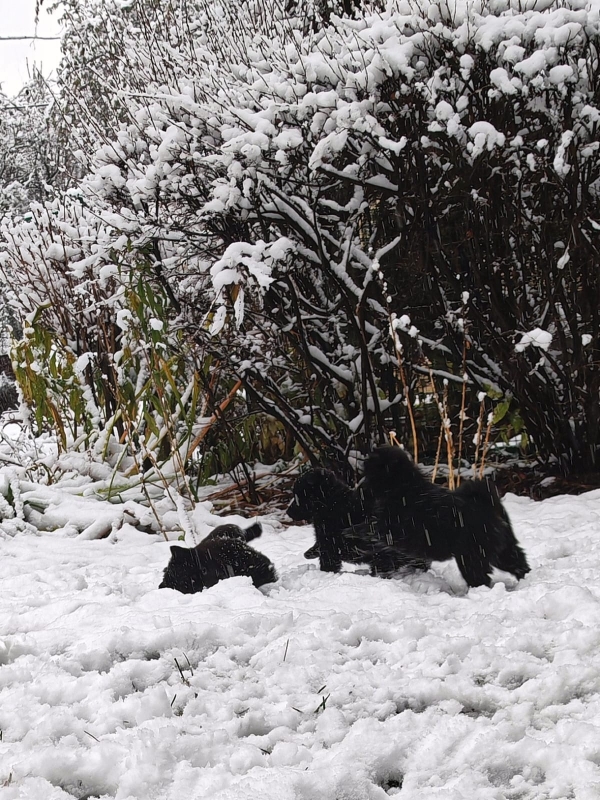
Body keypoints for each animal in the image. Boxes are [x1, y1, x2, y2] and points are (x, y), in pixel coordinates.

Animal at [287, 468, 430, 575]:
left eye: (298, 496)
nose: (288, 512)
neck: (330, 503)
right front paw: (309, 553)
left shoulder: (329, 543)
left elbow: (327, 561)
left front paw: (325, 574)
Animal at [351, 446, 530, 588]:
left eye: (370, 472)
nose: (359, 489)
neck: (403, 486)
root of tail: (487, 505)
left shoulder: (396, 529)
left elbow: (370, 528)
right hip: (502, 549)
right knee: (518, 562)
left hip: (471, 556)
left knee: (480, 577)